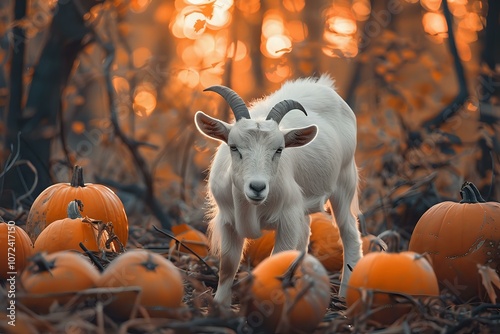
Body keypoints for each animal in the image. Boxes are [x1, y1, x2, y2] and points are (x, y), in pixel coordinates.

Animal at [195, 74, 364, 306]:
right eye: (233, 146)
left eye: (279, 149)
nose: (257, 187)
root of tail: (324, 85)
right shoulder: (227, 219)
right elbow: (228, 265)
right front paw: (220, 305)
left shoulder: (287, 218)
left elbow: (277, 261)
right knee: (305, 237)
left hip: (345, 182)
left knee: (349, 233)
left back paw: (345, 294)